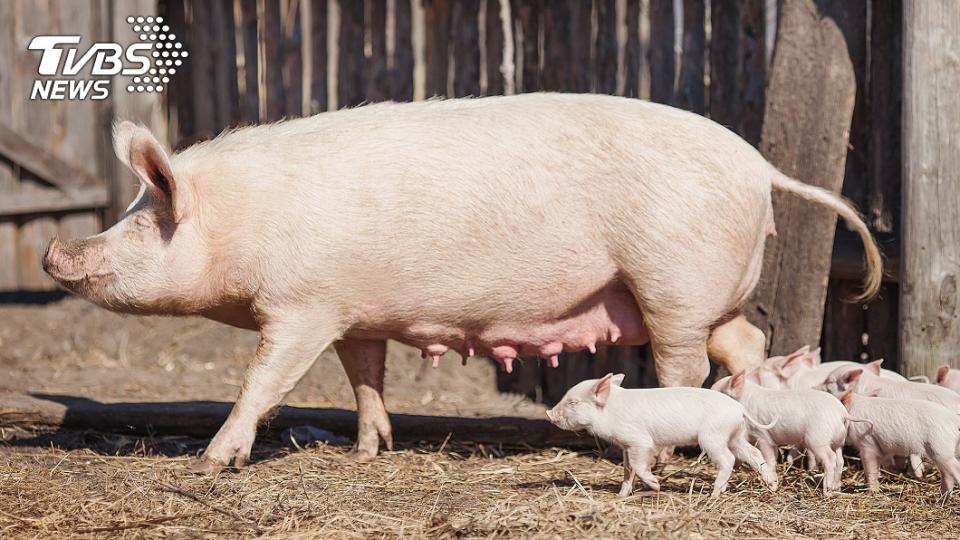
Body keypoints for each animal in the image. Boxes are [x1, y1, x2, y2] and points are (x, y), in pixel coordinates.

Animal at [41, 94, 880, 472]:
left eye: (142, 223)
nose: (53, 249)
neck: (243, 222)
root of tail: (760, 166)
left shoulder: (302, 308)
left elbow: (263, 383)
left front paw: (214, 461)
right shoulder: (354, 311)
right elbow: (366, 378)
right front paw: (370, 452)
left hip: (671, 281)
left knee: (684, 363)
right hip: (709, 294)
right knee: (748, 342)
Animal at [544, 374, 776, 496]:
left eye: (573, 402)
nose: (549, 413)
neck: (609, 411)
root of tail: (739, 407)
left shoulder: (639, 441)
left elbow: (638, 466)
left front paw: (656, 486)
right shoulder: (626, 446)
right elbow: (627, 470)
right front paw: (620, 496)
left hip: (713, 437)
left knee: (728, 459)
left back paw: (714, 493)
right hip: (735, 435)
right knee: (754, 454)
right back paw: (773, 485)